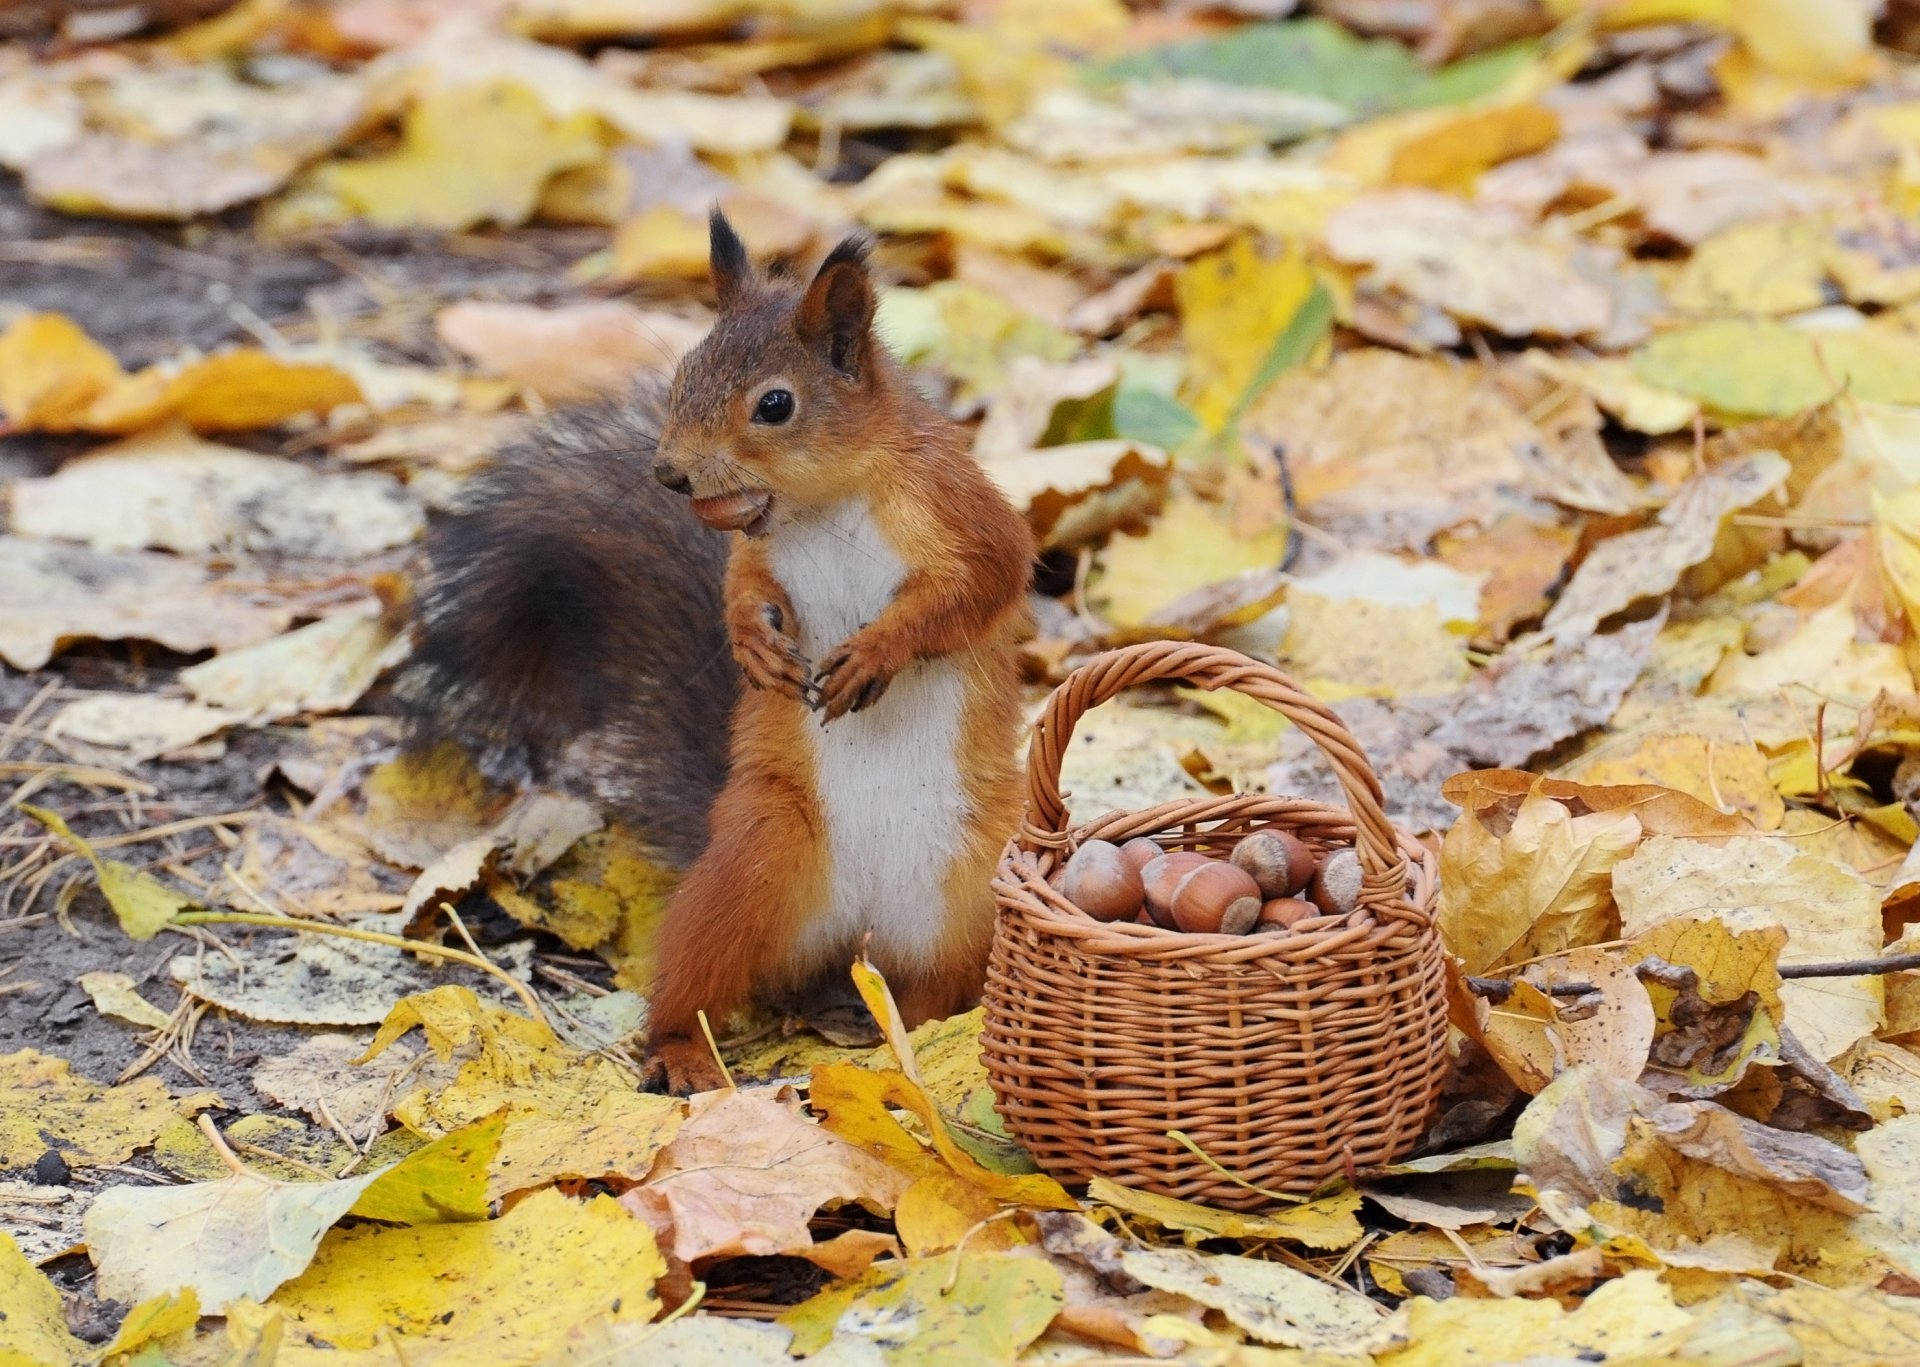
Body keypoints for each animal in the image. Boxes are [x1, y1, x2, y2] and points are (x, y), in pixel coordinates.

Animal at [410, 212, 1035, 1091]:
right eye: (683, 372)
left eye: (776, 404)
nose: (669, 474)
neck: (824, 503)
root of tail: (859, 934)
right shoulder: (757, 554)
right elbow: (740, 587)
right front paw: (753, 646)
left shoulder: (963, 512)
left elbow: (980, 585)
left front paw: (876, 651)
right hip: (752, 861)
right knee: (697, 981)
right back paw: (685, 1051)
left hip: (976, 892)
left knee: (938, 988)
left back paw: (914, 1037)